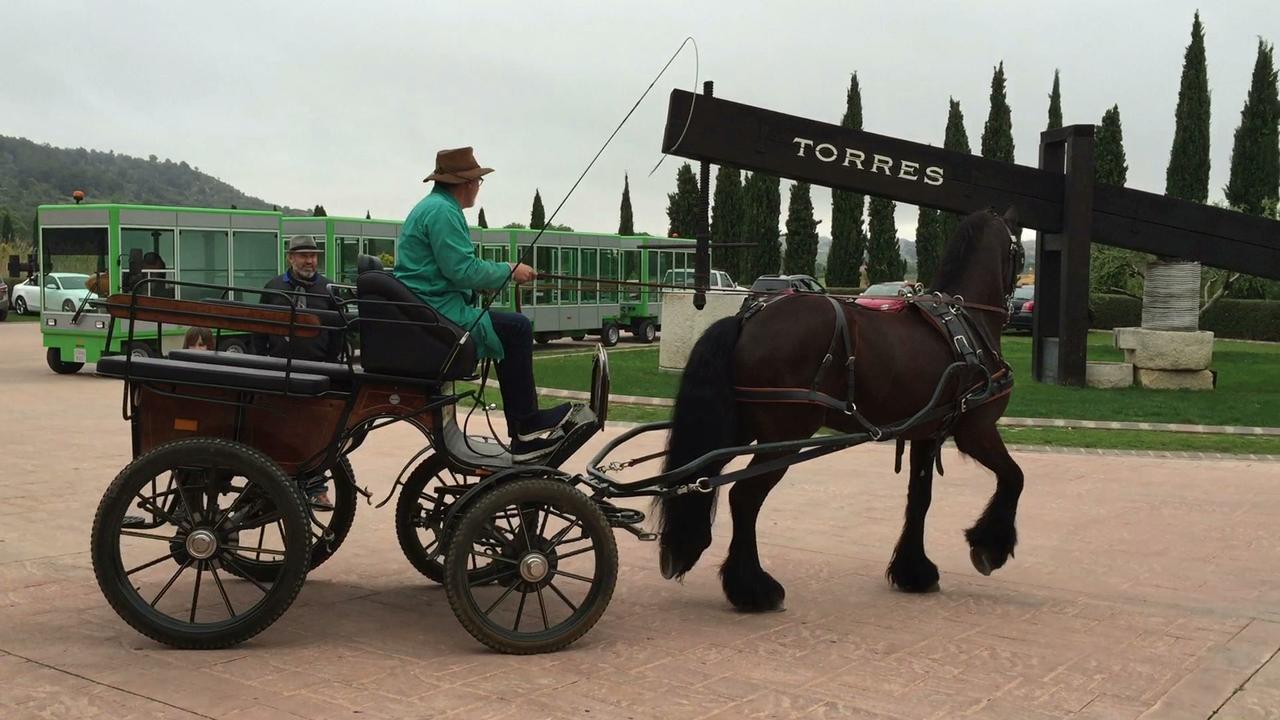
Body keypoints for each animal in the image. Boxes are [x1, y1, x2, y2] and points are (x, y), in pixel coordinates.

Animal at [660, 204, 1029, 607]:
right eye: (1020, 252)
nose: (1016, 301)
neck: (964, 322)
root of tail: (749, 318)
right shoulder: (976, 430)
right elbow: (1014, 477)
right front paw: (990, 547)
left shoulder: (926, 434)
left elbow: (920, 498)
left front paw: (913, 570)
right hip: (785, 436)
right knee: (744, 496)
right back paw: (753, 589)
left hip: (739, 428)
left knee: (700, 478)